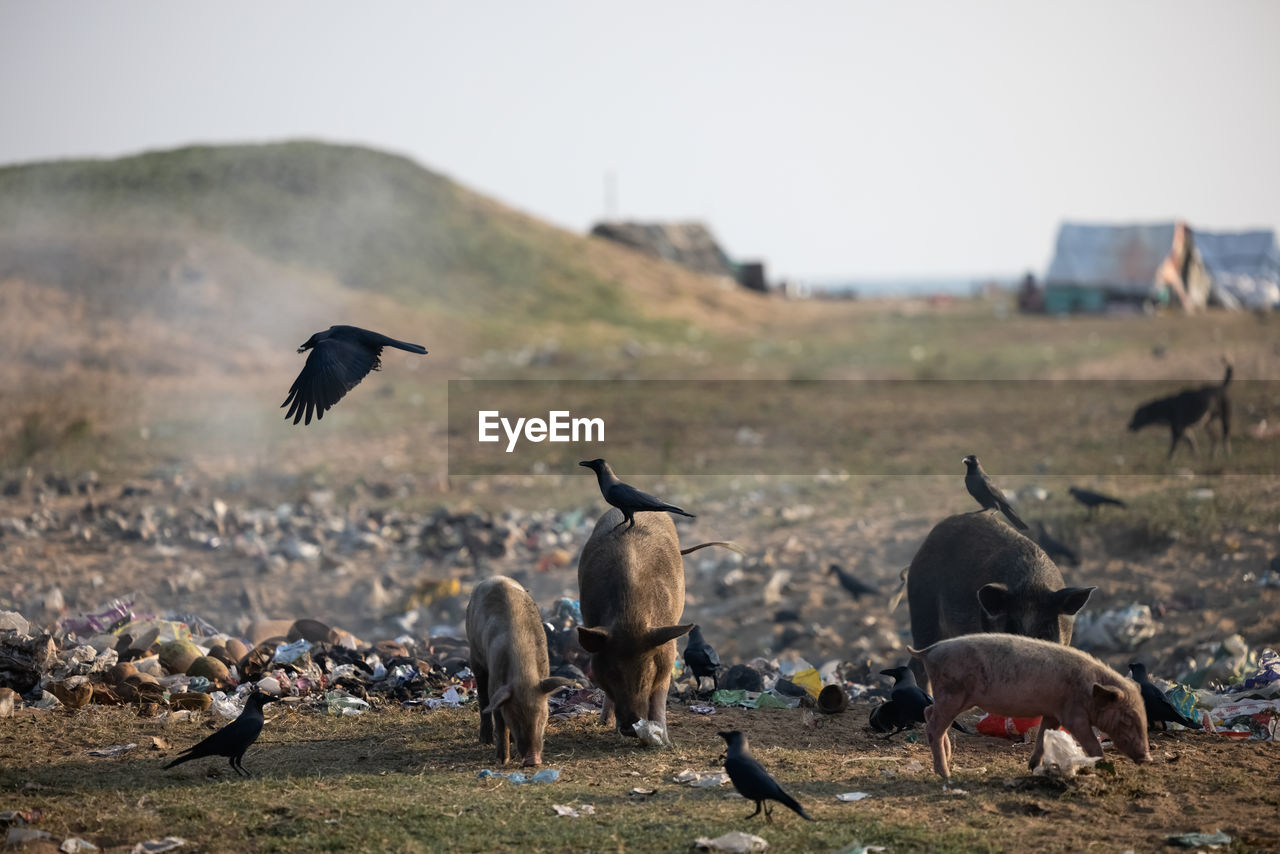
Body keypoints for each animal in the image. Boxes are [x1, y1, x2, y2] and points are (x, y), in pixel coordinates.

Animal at [468, 573, 573, 768]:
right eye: (515, 720)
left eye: (542, 719)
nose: (533, 761)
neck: (524, 675)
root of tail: (495, 577)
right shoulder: (497, 687)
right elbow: (500, 721)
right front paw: (502, 760)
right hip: (474, 654)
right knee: (482, 697)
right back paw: (485, 740)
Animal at [578, 512, 696, 742]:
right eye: (613, 672)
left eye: (646, 672)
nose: (629, 727)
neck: (630, 619)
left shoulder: (667, 646)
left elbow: (660, 693)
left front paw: (664, 740)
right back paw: (604, 722)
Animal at [911, 632, 1152, 783]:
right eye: (1127, 719)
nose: (1147, 759)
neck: (1088, 691)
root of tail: (928, 651)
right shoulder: (1073, 715)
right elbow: (1092, 745)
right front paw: (1106, 770)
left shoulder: (1052, 713)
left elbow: (1043, 736)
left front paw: (1033, 767)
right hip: (952, 694)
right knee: (934, 727)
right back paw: (946, 774)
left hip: (950, 698)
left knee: (929, 713)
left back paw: (948, 760)